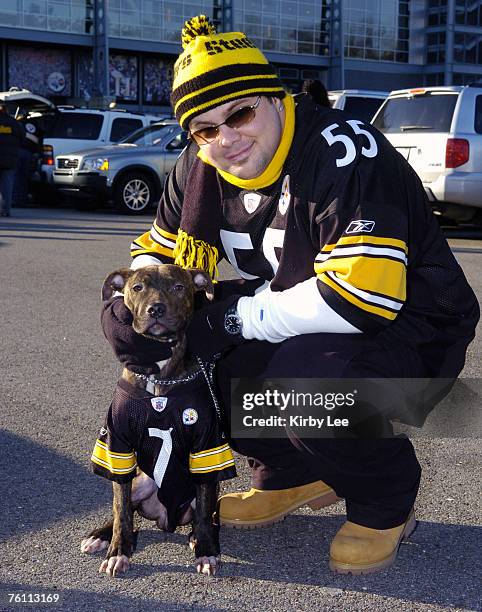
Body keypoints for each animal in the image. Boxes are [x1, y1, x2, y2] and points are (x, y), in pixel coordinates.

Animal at [80, 264, 235, 580]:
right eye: (137, 287)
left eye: (178, 287)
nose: (156, 309)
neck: (160, 375)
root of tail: (166, 520)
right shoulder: (118, 447)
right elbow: (121, 510)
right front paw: (118, 551)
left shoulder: (206, 447)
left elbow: (204, 511)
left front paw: (207, 551)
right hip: (141, 480)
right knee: (125, 510)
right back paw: (101, 536)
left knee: (206, 512)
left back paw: (197, 537)